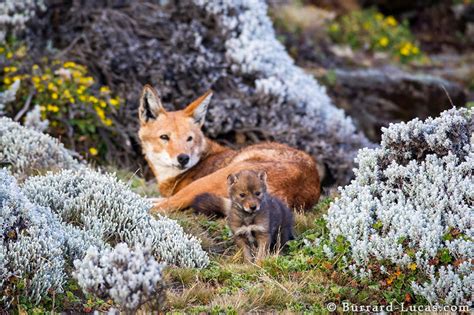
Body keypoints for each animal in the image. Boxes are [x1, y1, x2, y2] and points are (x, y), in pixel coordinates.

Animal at [139, 85, 320, 215]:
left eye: (189, 139)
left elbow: (163, 202)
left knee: (161, 208)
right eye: (164, 137)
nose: (183, 158)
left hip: (206, 182)